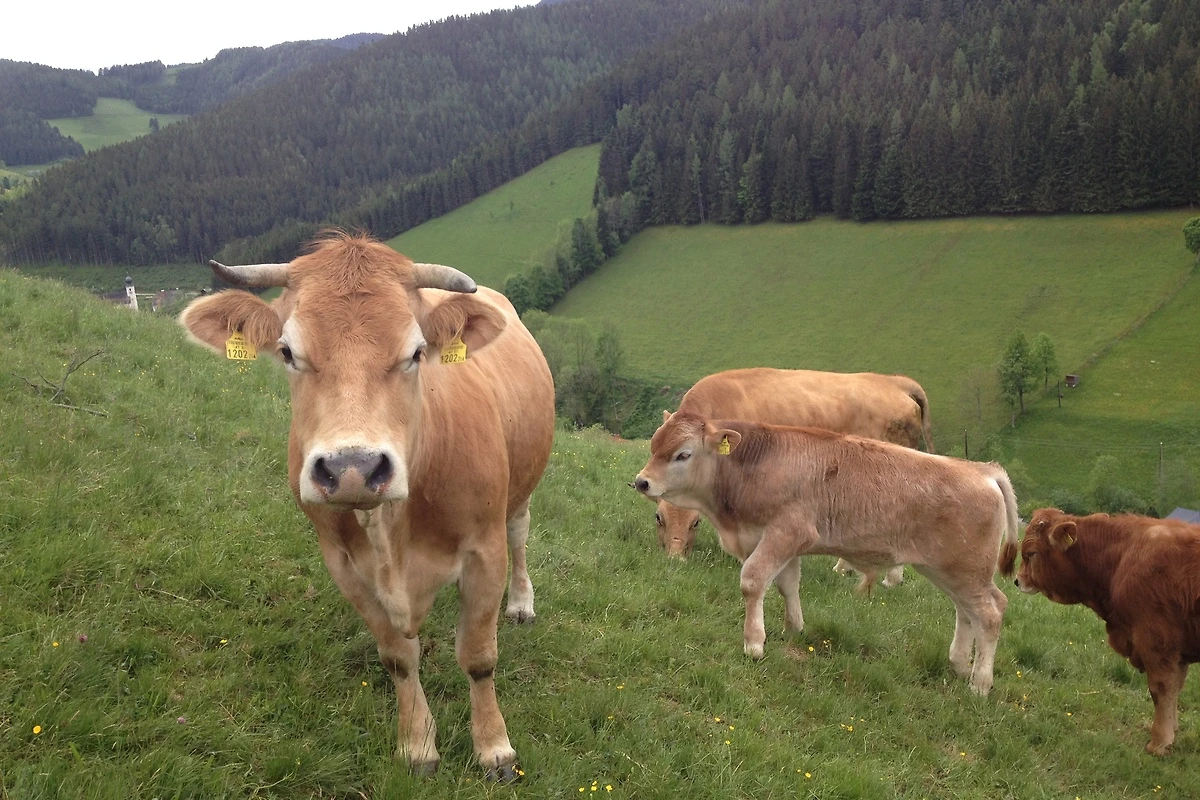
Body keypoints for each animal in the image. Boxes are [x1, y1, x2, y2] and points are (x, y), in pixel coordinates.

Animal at [178, 232, 555, 780]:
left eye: (417, 352)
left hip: (521, 491)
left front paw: (494, 748)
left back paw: (522, 603)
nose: (352, 467)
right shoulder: (344, 565)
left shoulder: (484, 552)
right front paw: (417, 746)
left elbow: (479, 656)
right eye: (287, 351)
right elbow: (398, 658)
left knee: (520, 533)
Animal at [632, 412, 1018, 695]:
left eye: (683, 454)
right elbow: (788, 585)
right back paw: (959, 664)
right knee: (967, 612)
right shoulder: (783, 543)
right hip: (951, 572)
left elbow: (753, 581)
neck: (757, 464)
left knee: (990, 613)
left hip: (968, 573)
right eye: (654, 444)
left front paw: (754, 643)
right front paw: (794, 628)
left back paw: (980, 684)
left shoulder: (786, 533)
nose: (641, 482)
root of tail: (982, 470)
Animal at [1015, 508, 1200, 755]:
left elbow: (1161, 688)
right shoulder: (1178, 650)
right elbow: (1176, 688)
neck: (1121, 557)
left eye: (1031, 553)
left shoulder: (1156, 641)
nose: (1017, 580)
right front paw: (1171, 729)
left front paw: (1159, 742)